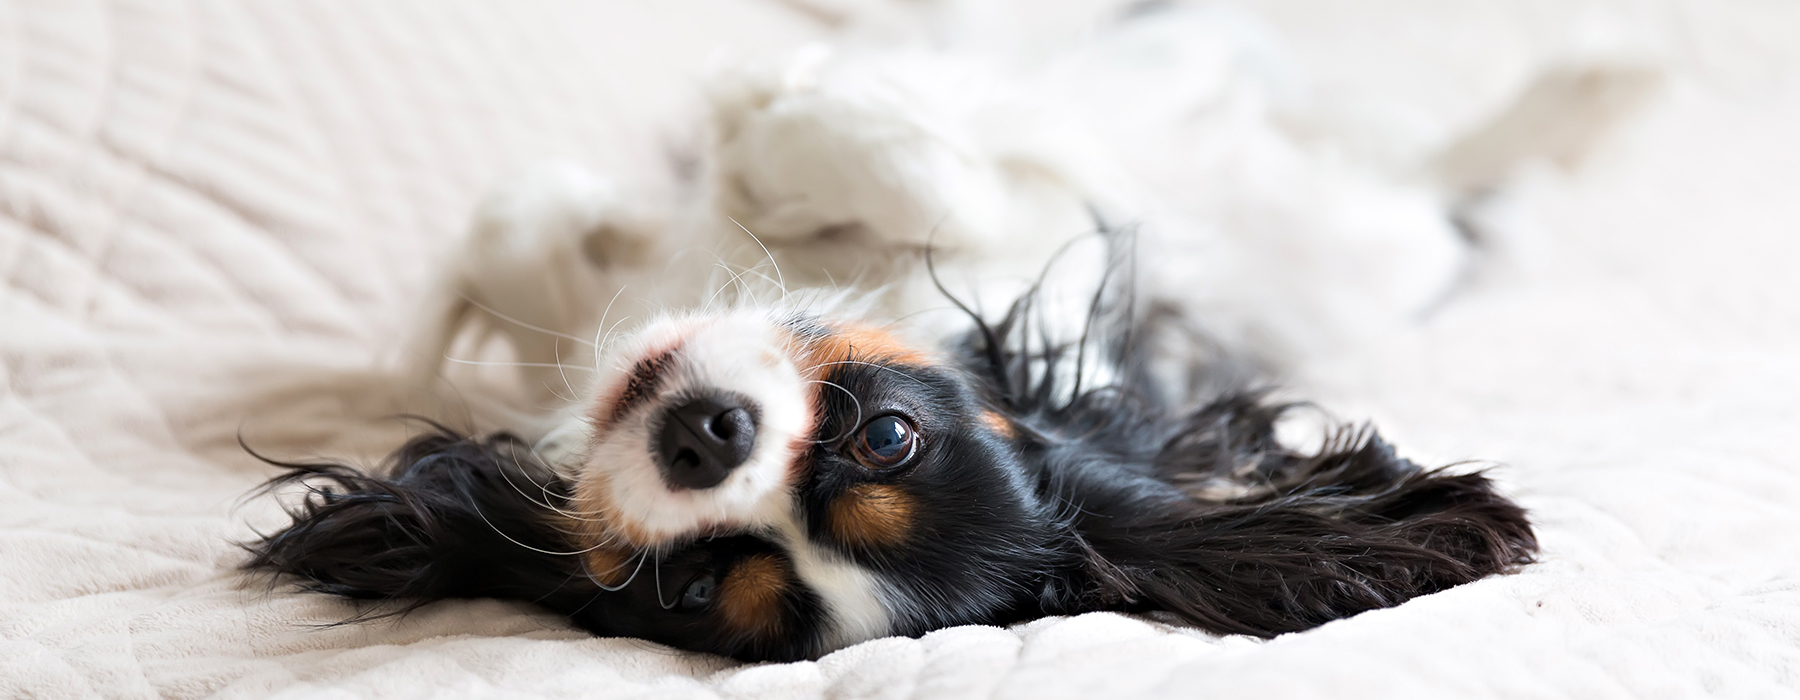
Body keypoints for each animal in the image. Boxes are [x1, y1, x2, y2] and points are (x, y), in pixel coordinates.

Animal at [243, 4, 1656, 658]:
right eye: (892, 435)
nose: (707, 435)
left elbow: (922, 172)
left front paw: (772, 126)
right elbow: (521, 231)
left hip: (1364, 245)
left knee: (1439, 188)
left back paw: (1597, 89)